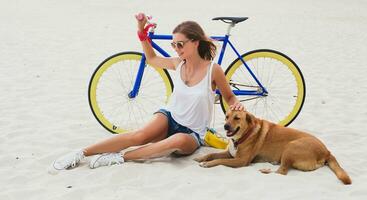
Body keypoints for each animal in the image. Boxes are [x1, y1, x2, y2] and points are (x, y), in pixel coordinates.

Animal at [196, 109, 354, 184]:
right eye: (226, 117)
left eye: (237, 118)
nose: (225, 126)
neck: (245, 134)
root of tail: (326, 151)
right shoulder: (230, 154)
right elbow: (212, 154)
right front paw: (201, 158)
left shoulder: (240, 161)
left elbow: (219, 161)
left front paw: (207, 164)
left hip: (291, 146)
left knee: (282, 172)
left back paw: (266, 170)